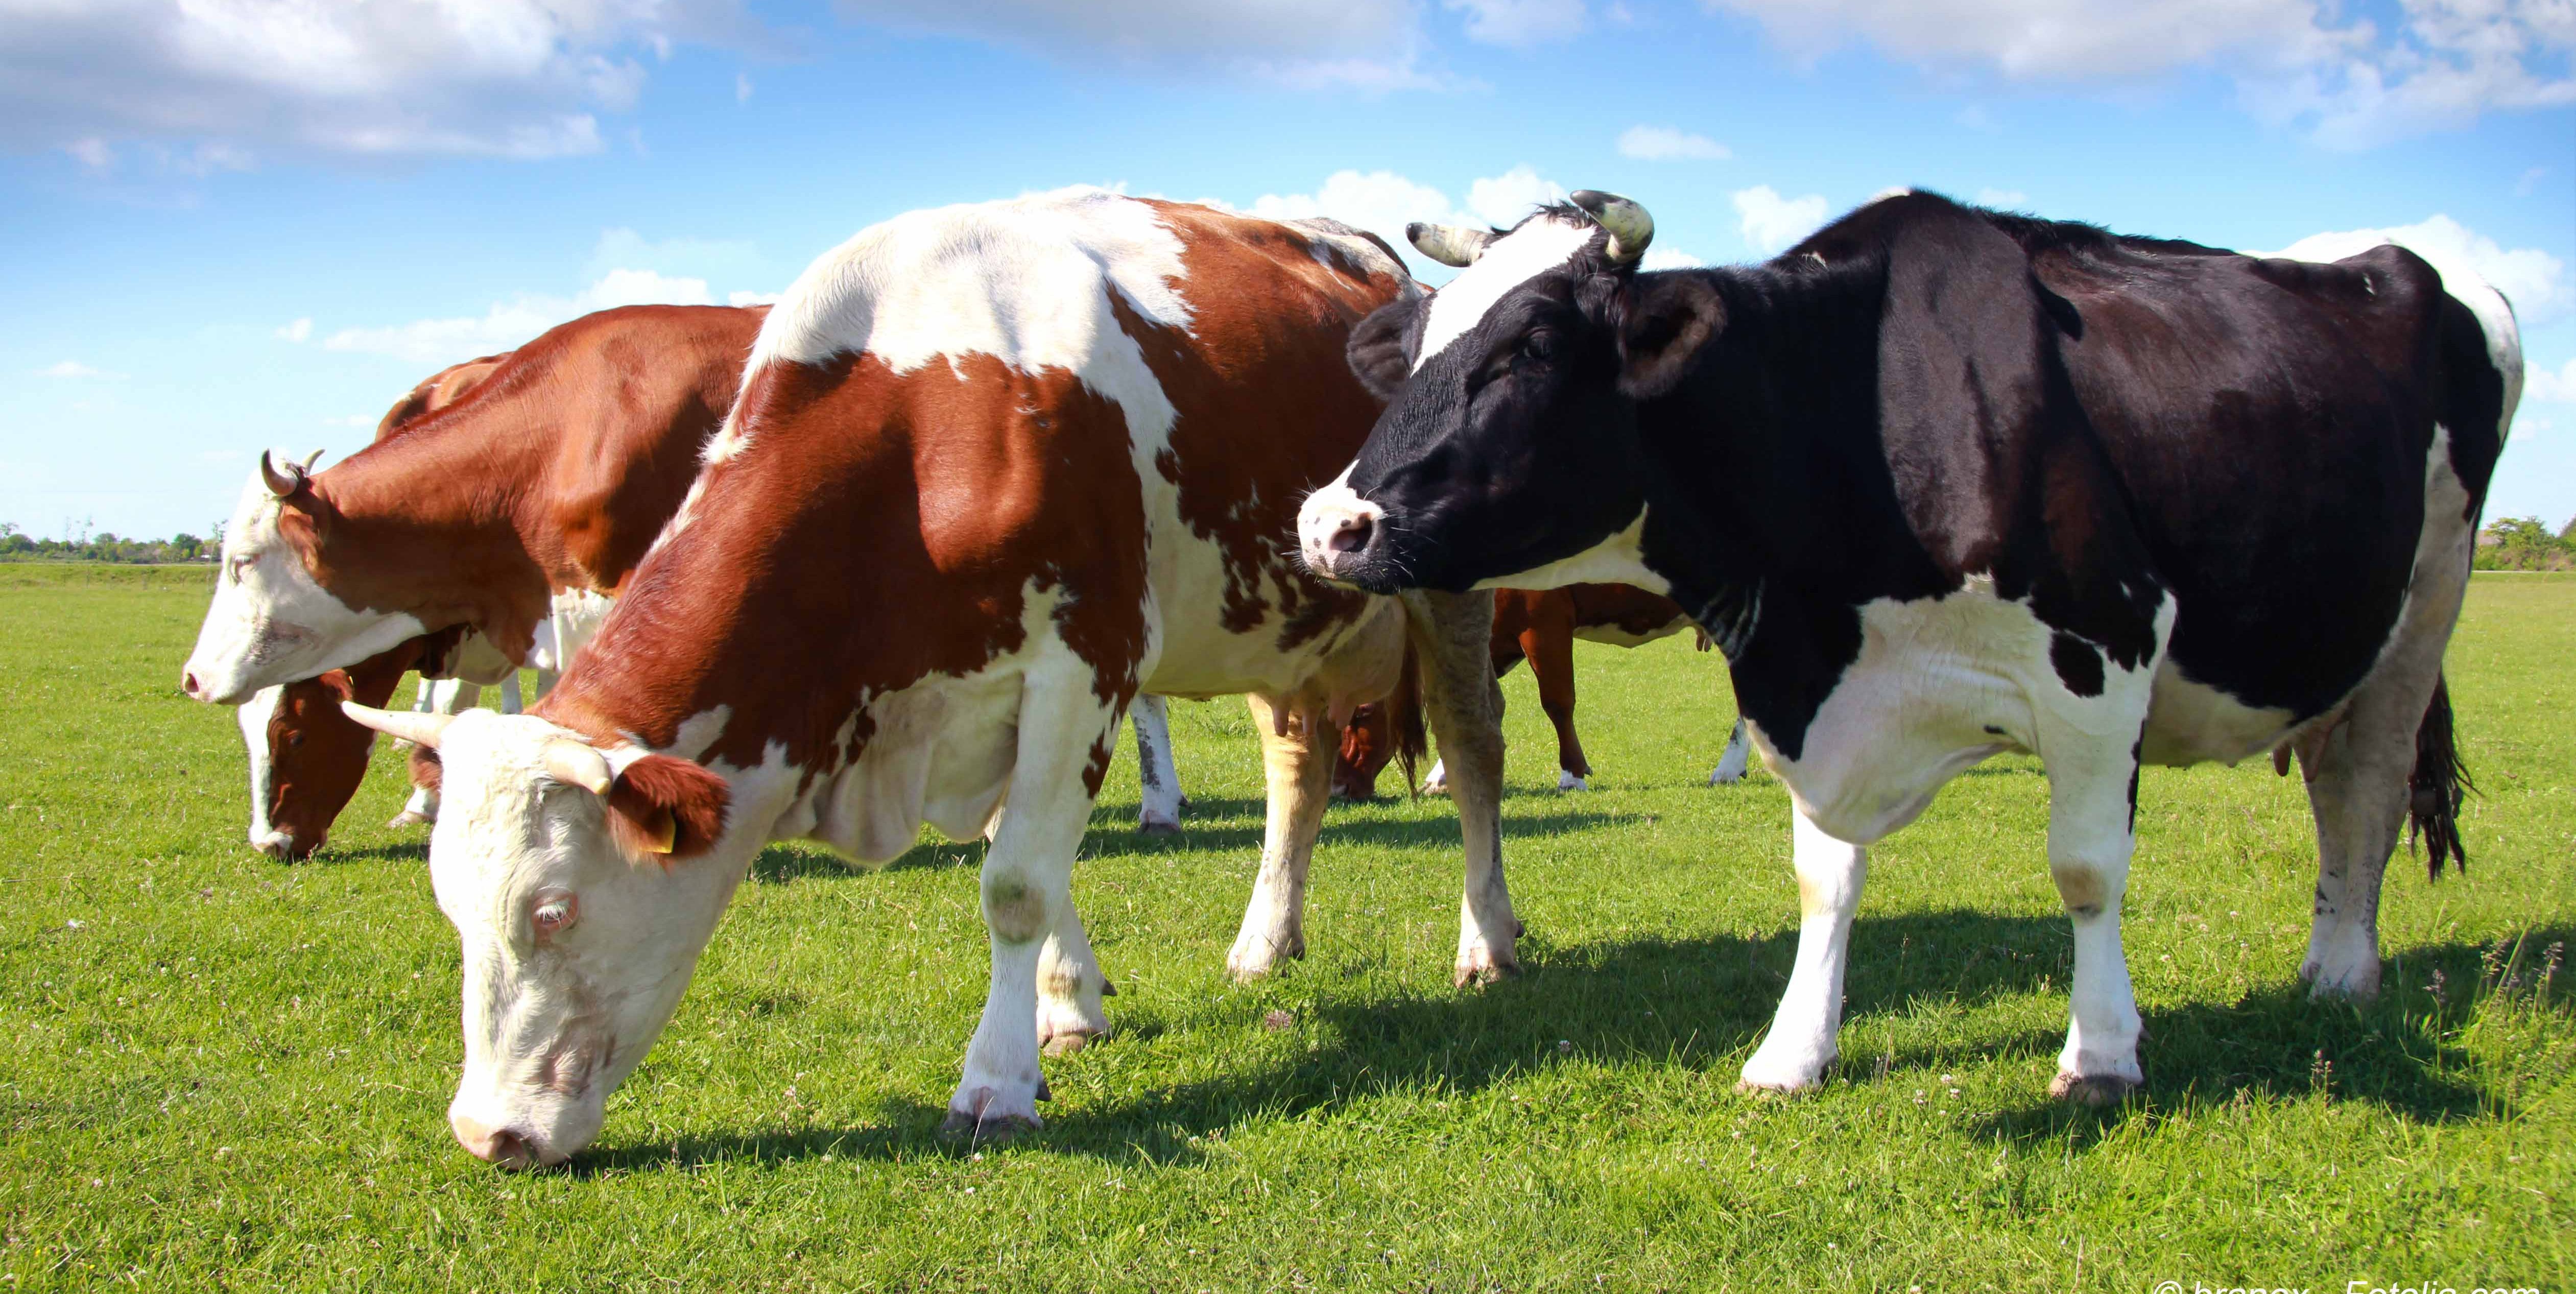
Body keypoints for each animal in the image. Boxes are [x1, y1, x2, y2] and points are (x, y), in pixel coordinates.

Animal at [1308, 189, 2514, 1103]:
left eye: (1533, 346)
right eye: (1414, 348)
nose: (1329, 522)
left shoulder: (2106, 652)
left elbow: (2084, 869)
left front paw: (2098, 1054)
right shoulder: (1815, 689)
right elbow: (1823, 878)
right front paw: (1793, 1050)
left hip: (2427, 604)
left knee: (2366, 787)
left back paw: (2342, 971)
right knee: (2329, 779)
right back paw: (2325, 957)